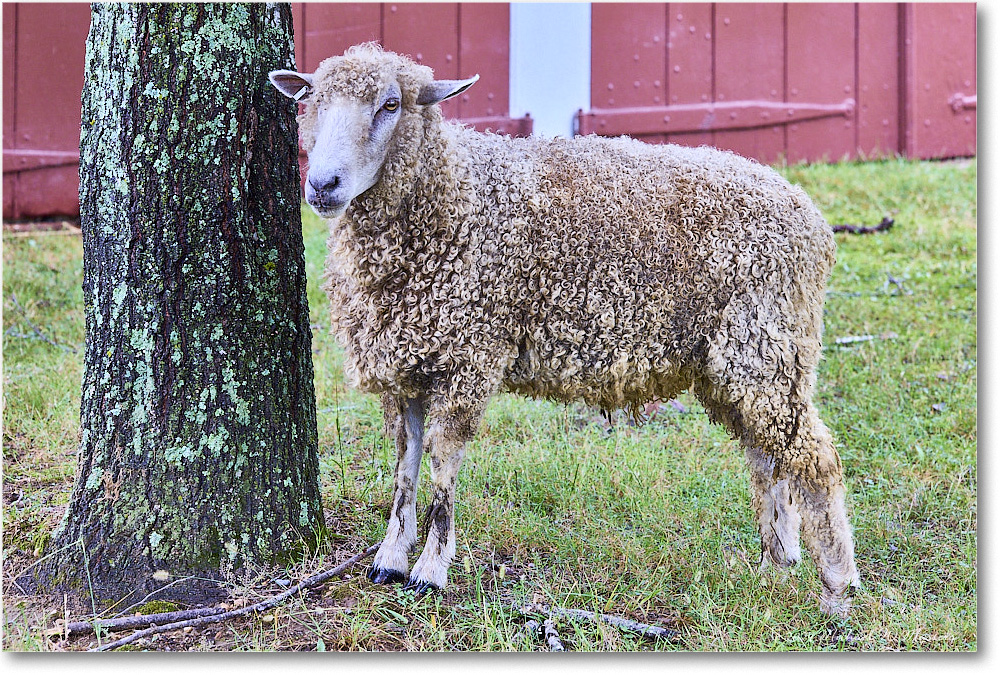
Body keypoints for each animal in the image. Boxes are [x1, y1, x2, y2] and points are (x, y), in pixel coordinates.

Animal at [272, 42, 860, 616]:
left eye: (391, 105)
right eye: (311, 101)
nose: (322, 184)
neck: (456, 195)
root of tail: (813, 221)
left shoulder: (468, 355)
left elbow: (442, 463)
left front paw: (431, 570)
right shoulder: (407, 363)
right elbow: (404, 463)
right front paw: (390, 559)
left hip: (767, 342)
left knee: (815, 457)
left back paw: (836, 587)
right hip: (738, 360)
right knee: (767, 455)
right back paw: (775, 562)